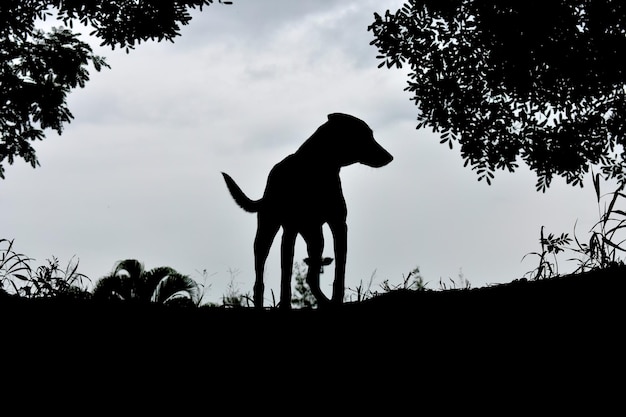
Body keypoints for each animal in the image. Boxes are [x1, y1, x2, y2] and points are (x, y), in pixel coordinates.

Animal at [222, 112, 392, 308]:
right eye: (365, 135)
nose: (390, 157)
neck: (317, 169)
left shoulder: (339, 224)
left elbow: (340, 268)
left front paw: (336, 300)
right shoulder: (290, 229)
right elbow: (285, 275)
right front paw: (285, 305)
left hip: (315, 236)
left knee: (311, 275)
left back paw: (324, 300)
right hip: (267, 231)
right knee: (260, 274)